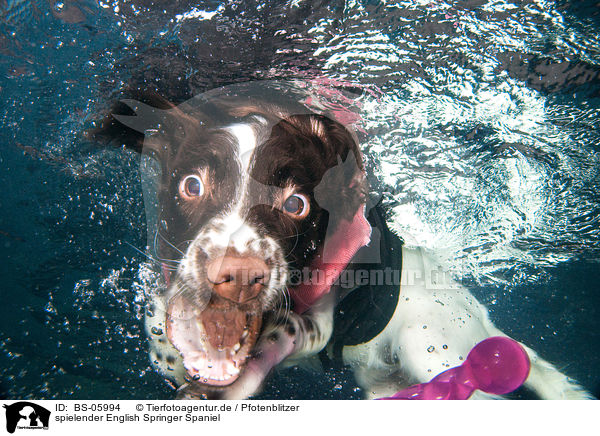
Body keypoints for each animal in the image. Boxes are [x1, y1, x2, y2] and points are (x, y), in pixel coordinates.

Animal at [97, 83, 592, 400]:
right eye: (192, 186)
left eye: (296, 204)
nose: (238, 275)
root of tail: (484, 321)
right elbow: (162, 316)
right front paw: (175, 353)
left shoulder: (319, 320)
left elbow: (285, 330)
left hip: (433, 347)